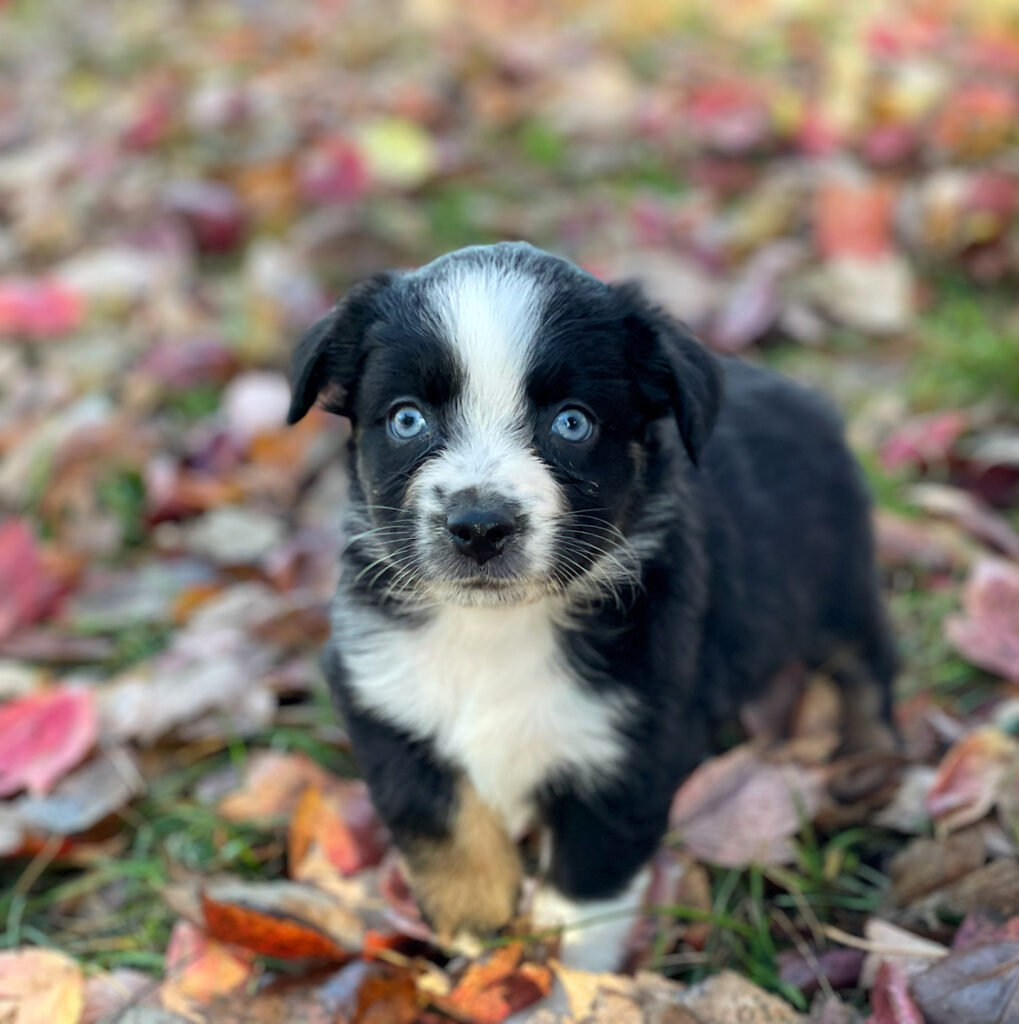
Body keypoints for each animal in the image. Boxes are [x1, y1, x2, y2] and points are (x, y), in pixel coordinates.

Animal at [284, 239, 893, 966]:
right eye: (407, 418)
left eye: (571, 423)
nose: (480, 526)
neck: (495, 628)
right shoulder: (381, 690)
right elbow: (437, 817)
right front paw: (478, 931)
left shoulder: (632, 739)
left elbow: (587, 887)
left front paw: (565, 973)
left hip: (843, 589)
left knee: (867, 666)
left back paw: (870, 757)